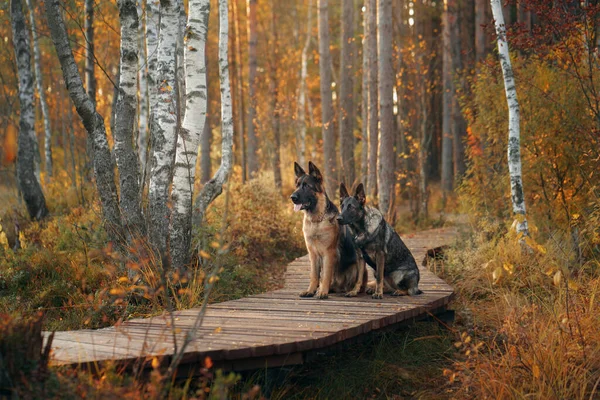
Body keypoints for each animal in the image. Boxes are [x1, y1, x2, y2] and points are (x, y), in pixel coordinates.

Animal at [290, 161, 366, 298]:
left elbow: (325, 275)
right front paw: (311, 290)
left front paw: (322, 292)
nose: (292, 197)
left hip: (358, 263)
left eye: (306, 186)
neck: (316, 221)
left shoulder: (328, 253)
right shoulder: (313, 254)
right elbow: (314, 275)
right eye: (297, 185)